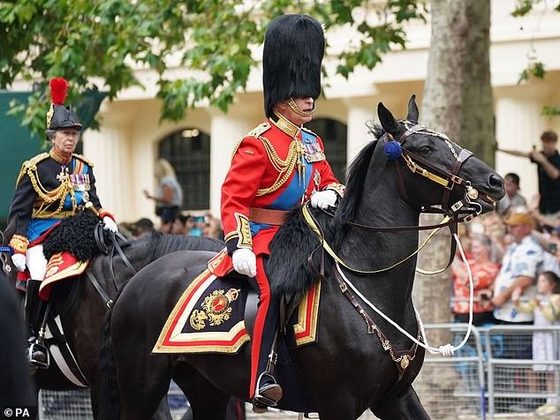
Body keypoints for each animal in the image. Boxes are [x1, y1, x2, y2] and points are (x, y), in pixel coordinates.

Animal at [96, 96, 504, 420]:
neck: (370, 284)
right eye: (424, 149)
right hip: (142, 386)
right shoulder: (339, 404)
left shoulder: (396, 397)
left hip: (205, 386)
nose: (495, 182)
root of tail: (133, 281)